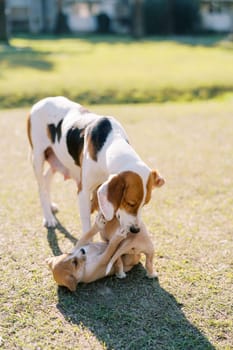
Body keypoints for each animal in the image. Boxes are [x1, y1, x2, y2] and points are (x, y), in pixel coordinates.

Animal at [28, 95, 165, 234]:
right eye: (130, 203)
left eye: (145, 204)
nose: (135, 230)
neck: (110, 143)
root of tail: (42, 100)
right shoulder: (83, 192)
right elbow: (86, 225)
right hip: (38, 157)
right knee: (41, 187)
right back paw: (48, 217)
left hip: (57, 161)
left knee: (46, 179)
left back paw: (50, 206)